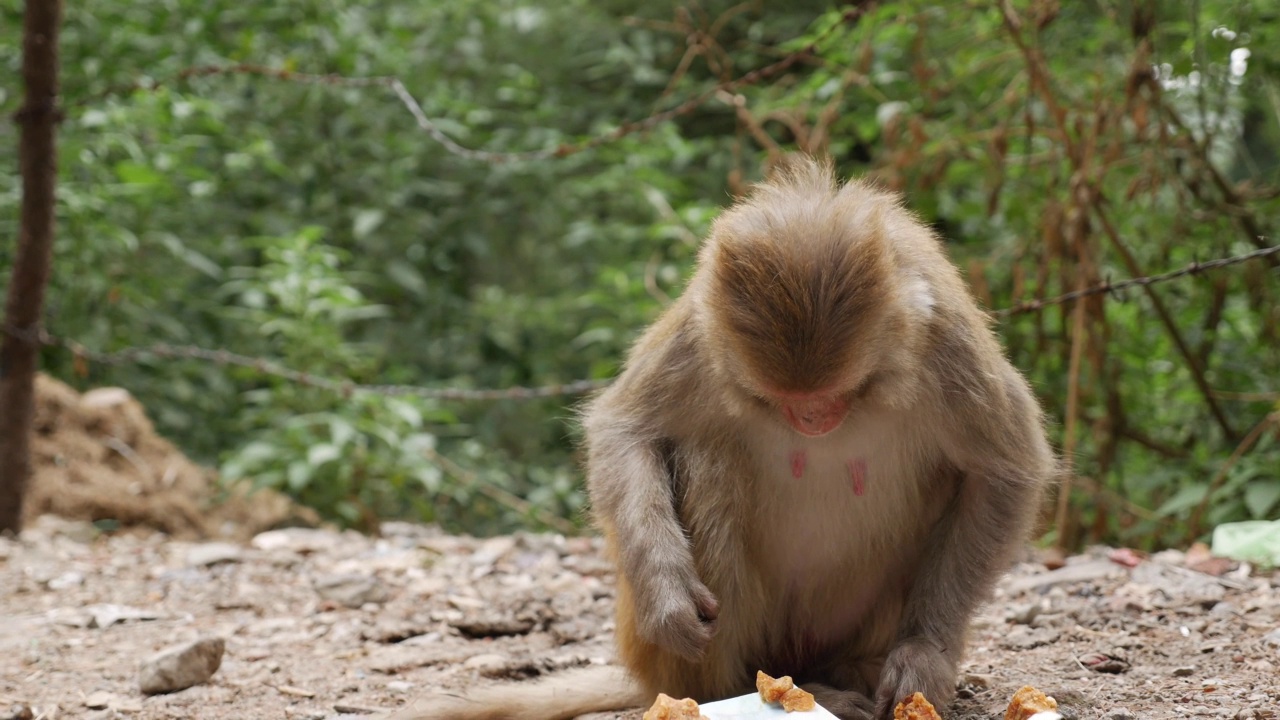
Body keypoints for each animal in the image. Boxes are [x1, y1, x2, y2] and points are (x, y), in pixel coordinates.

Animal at [384, 152, 1054, 717]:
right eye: (784, 401)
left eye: (841, 394)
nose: (813, 421)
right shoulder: (699, 331)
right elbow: (627, 430)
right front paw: (668, 595)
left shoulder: (947, 344)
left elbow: (1005, 470)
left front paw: (924, 654)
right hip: (677, 655)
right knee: (708, 456)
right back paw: (745, 692)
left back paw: (844, 679)